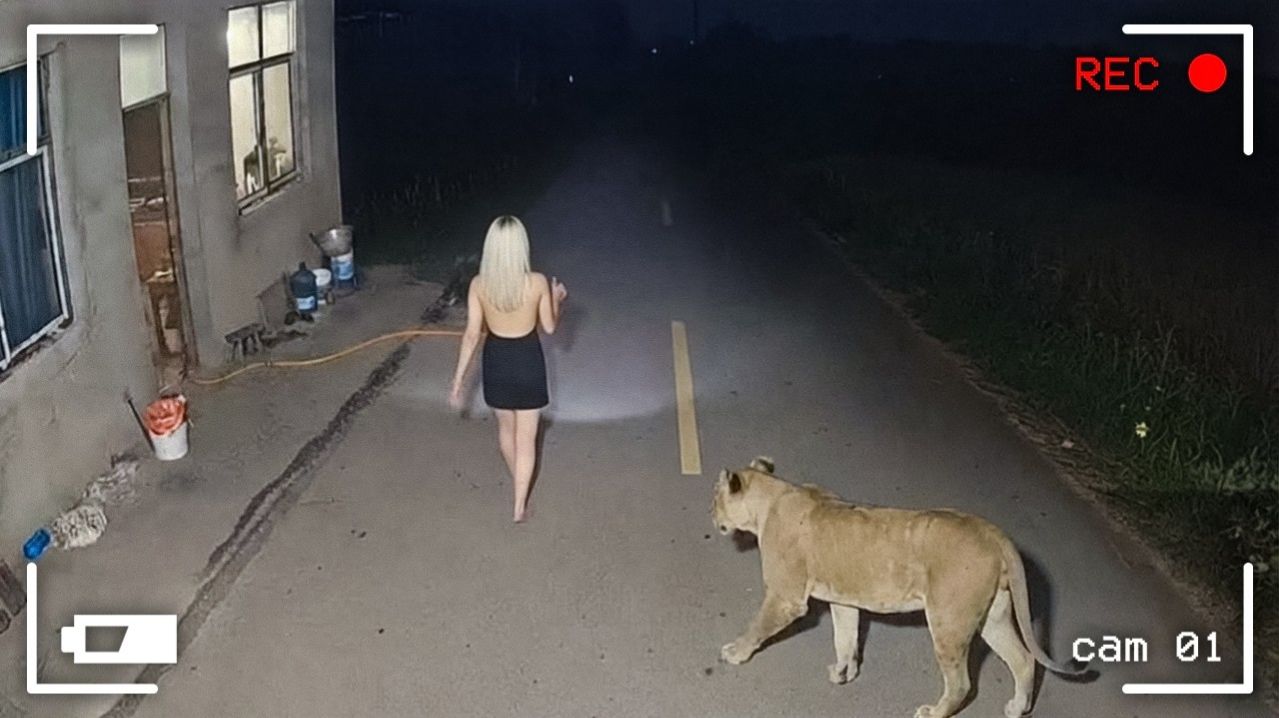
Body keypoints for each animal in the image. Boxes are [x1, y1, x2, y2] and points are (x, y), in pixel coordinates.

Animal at [711, 457, 1085, 718]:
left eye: (715, 498)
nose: (711, 517)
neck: (772, 496)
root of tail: (994, 534)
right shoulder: (844, 601)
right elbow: (845, 638)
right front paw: (844, 673)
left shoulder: (786, 598)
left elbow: (757, 627)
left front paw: (735, 652)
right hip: (991, 616)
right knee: (1024, 660)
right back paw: (1016, 708)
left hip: (949, 620)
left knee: (962, 683)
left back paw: (933, 713)